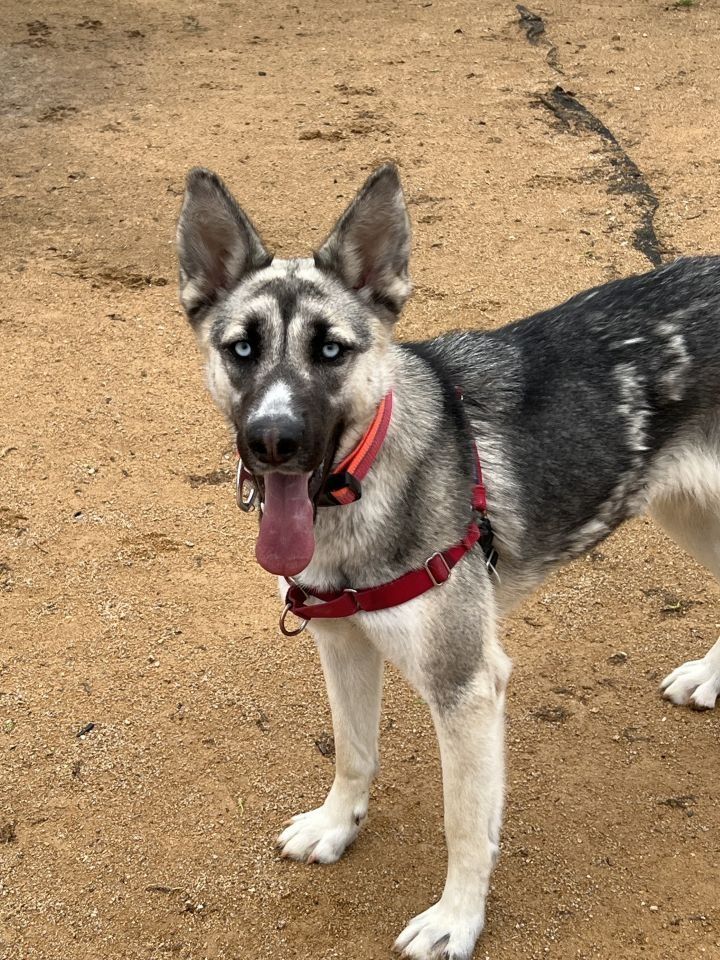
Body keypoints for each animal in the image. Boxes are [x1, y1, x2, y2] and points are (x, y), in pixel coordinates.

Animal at [174, 167, 720, 960]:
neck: (362, 487)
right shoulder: (341, 643)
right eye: (242, 348)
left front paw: (457, 919)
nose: (273, 440)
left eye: (331, 350)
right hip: (688, 509)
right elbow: (354, 751)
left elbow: (464, 824)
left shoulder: (466, 687)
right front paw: (337, 825)